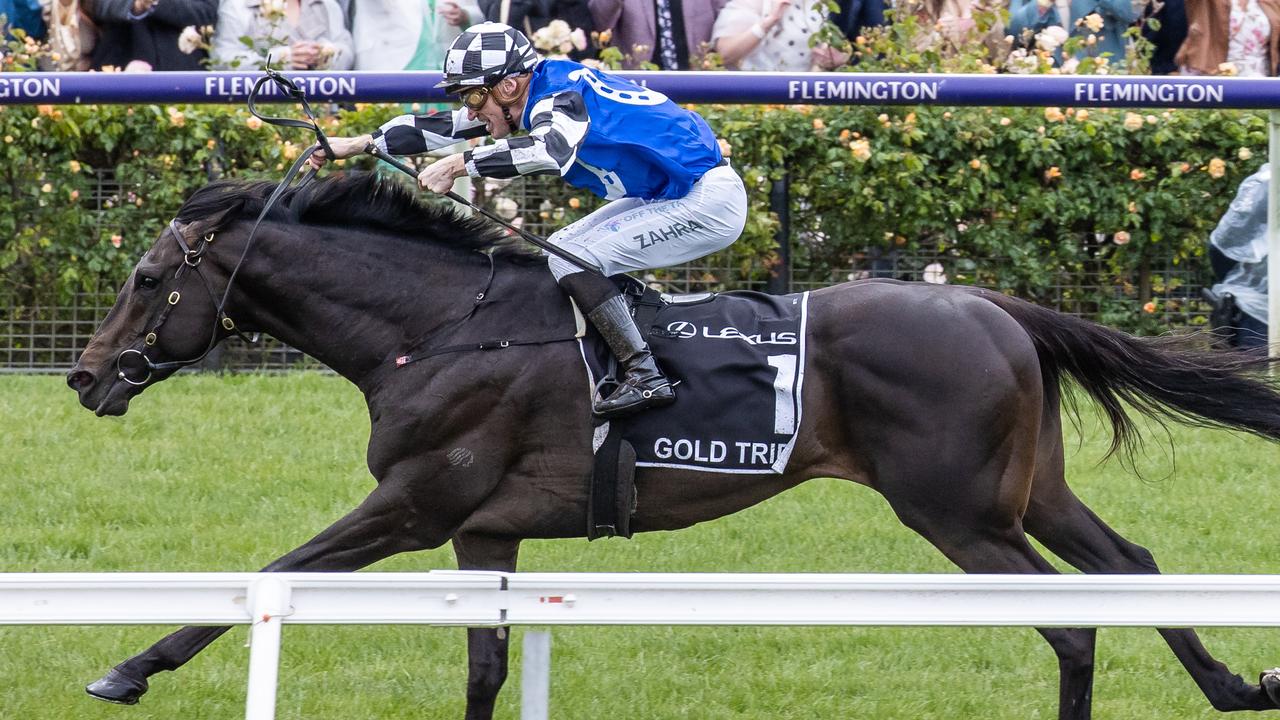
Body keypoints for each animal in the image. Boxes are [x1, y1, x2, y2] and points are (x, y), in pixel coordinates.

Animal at [64, 170, 1280, 712]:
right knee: (1131, 567)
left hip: (956, 510)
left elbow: (266, 577)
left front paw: (126, 666)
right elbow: (486, 663)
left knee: (1071, 624)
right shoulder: (483, 534)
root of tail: (995, 306)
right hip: (1025, 492)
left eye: (146, 279)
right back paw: (1234, 684)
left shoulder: (414, 505)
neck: (436, 330)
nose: (82, 376)